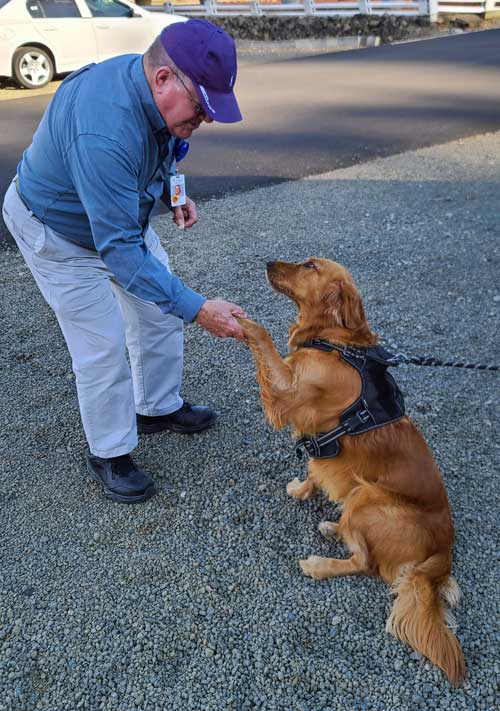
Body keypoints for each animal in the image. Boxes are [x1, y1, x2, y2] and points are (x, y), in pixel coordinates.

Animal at [237, 258, 464, 688]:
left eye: (310, 265)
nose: (268, 262)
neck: (335, 341)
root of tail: (443, 552)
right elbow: (314, 466)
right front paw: (302, 489)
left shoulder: (289, 387)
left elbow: (263, 336)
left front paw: (240, 320)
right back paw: (333, 527)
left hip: (367, 496)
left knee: (365, 564)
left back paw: (319, 563)